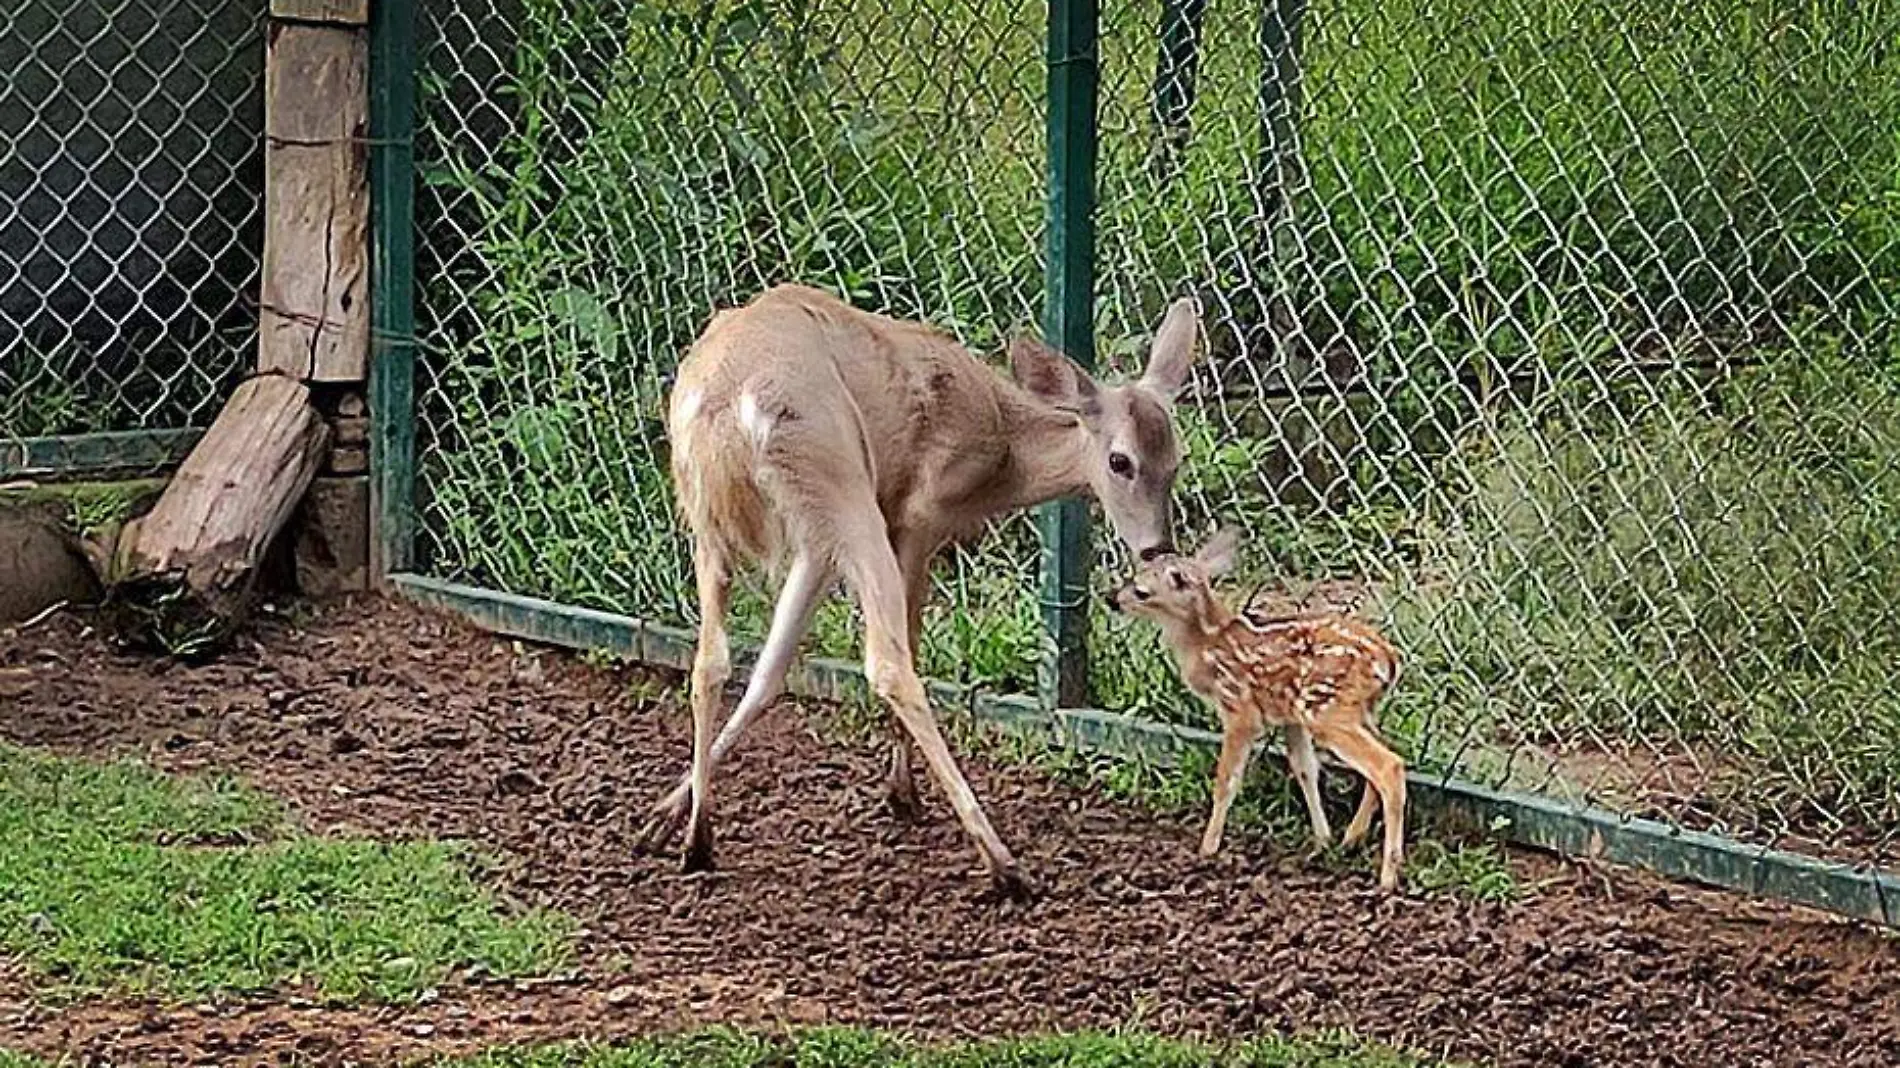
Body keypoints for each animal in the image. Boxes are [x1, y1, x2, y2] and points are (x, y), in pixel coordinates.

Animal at [638, 279, 1200, 893]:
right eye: (1120, 461)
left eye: (1177, 458)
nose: (1156, 548)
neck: (1001, 450)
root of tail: (733, 402)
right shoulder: (917, 516)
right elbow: (905, 638)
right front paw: (900, 793)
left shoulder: (816, 543)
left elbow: (769, 671)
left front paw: (665, 814)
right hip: (842, 485)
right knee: (888, 664)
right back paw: (1002, 862)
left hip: (707, 516)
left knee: (709, 659)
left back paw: (697, 841)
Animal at [1109, 528, 1406, 885]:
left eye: (1141, 590)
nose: (1111, 599)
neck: (1205, 644)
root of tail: (1388, 660)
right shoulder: (1289, 716)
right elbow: (1305, 769)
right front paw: (1322, 841)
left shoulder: (1239, 708)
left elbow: (1226, 780)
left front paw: (1207, 850)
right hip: (1355, 709)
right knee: (1384, 757)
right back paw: (1352, 839)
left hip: (1328, 710)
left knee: (1389, 765)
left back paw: (1387, 877)